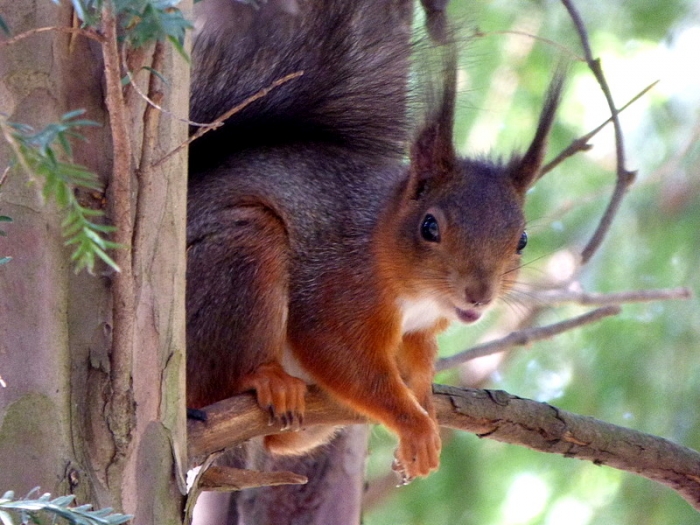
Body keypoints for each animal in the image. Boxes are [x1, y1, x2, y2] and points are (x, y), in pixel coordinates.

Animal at [187, 0, 563, 482]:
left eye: (522, 240)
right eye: (429, 227)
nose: (478, 295)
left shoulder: (418, 333)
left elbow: (417, 369)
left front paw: (425, 408)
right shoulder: (338, 289)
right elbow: (346, 360)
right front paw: (414, 424)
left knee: (279, 442)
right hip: (241, 251)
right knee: (216, 380)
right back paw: (265, 378)